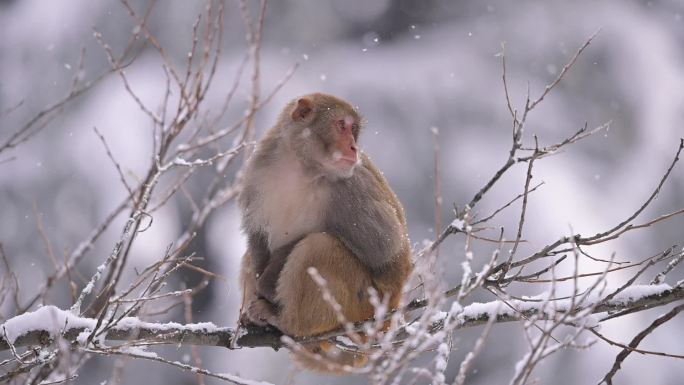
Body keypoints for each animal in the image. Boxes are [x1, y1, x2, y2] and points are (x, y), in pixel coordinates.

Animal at [238, 93, 412, 368]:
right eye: (342, 126)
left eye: (353, 130)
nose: (353, 148)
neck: (299, 167)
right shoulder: (257, 171)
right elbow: (256, 237)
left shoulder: (351, 187)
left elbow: (386, 249)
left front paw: (267, 282)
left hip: (362, 306)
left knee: (318, 246)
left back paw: (287, 323)